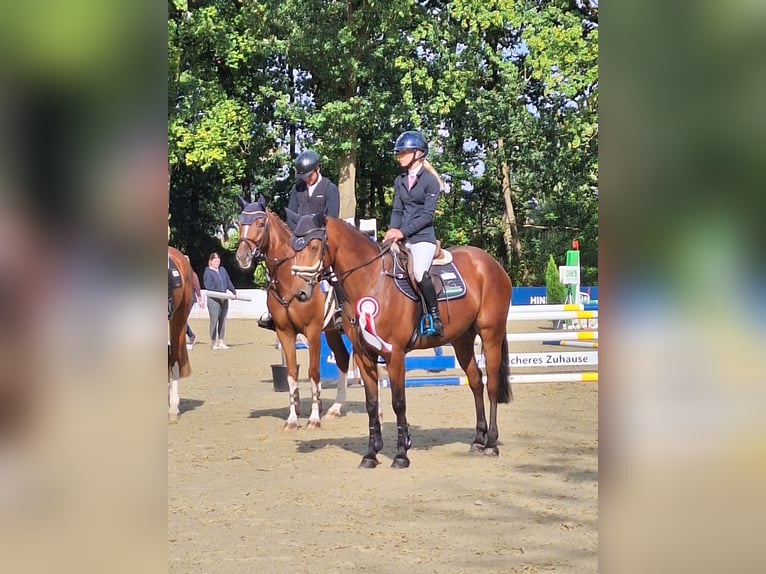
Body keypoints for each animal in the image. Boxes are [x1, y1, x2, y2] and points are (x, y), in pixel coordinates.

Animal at [236, 196, 352, 430]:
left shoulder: (313, 331)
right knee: (343, 358)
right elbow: (291, 374)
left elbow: (313, 373)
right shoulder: (285, 332)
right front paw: (292, 419)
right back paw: (335, 408)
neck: (290, 280)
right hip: (332, 331)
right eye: (240, 223)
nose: (242, 257)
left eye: (260, 224)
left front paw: (314, 418)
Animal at [292, 214, 512, 470]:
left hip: (491, 334)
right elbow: (371, 404)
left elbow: (398, 402)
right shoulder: (364, 355)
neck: (370, 281)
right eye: (294, 247)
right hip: (462, 339)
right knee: (476, 382)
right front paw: (371, 455)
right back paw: (478, 440)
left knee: (492, 384)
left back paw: (491, 444)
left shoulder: (394, 354)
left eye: (314, 247)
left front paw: (401, 454)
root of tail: (492, 263)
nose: (300, 293)